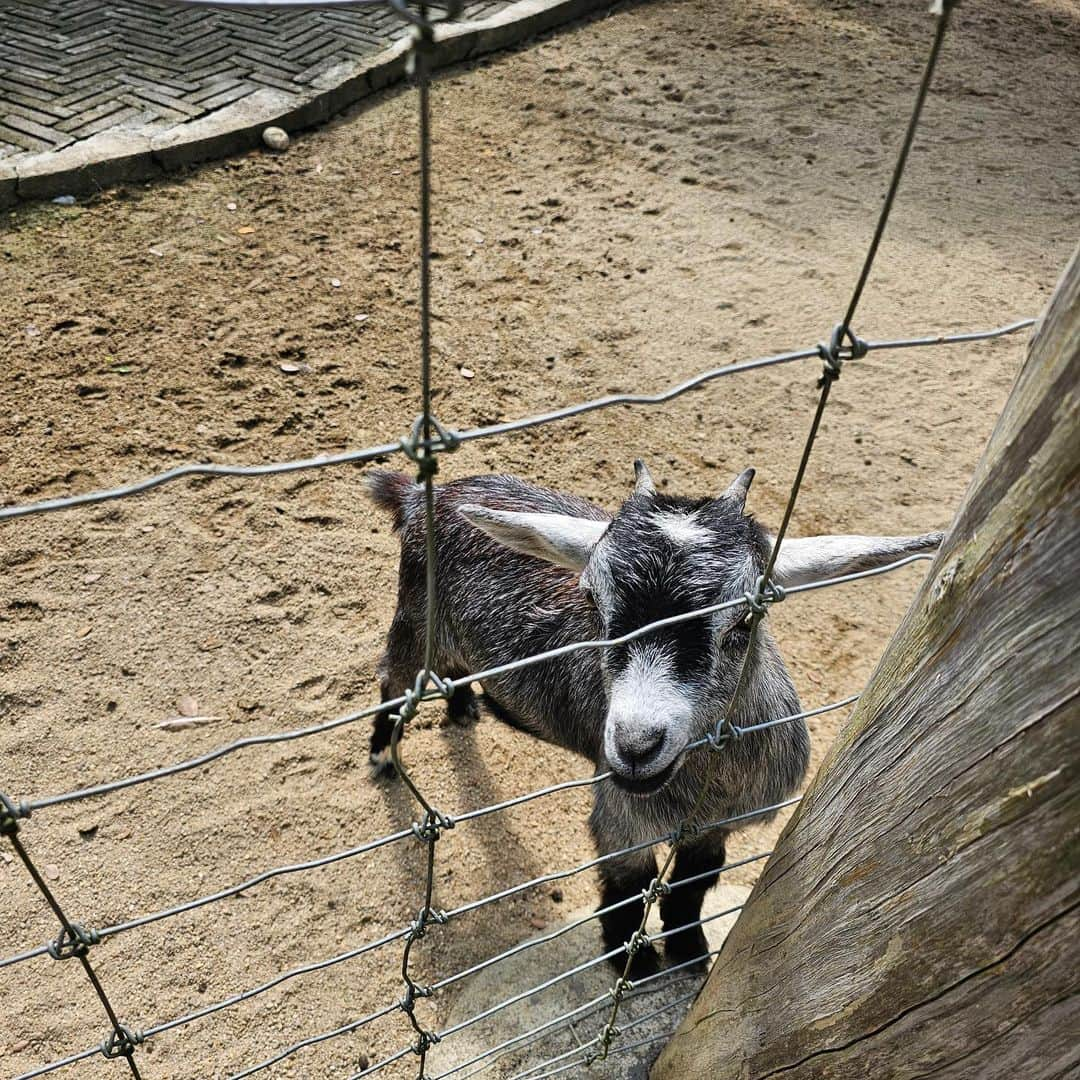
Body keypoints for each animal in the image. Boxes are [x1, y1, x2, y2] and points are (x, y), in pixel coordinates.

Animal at [365, 460, 937, 976]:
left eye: (745, 619)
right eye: (592, 600)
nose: (636, 745)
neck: (704, 785)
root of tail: (420, 495)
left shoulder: (718, 825)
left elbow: (691, 884)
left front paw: (689, 951)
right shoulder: (621, 815)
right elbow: (625, 885)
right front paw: (632, 962)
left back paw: (464, 704)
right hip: (416, 619)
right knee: (393, 681)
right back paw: (382, 754)